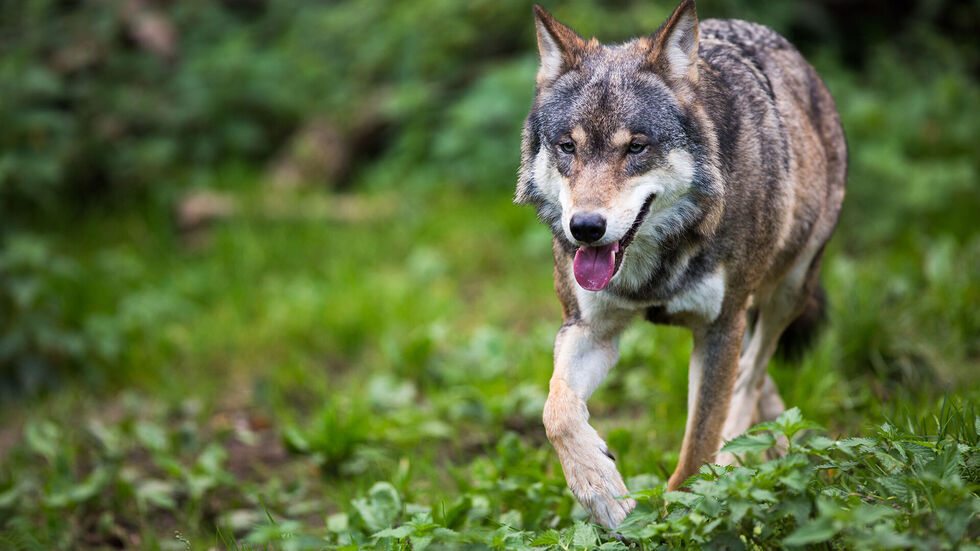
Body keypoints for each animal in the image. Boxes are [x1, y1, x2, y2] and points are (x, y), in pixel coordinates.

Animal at [516, 0, 846, 528]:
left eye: (636, 147)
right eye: (568, 146)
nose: (584, 227)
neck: (654, 268)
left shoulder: (720, 327)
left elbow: (698, 446)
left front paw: (687, 515)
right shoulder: (589, 329)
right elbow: (556, 411)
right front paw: (602, 492)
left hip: (786, 292)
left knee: (751, 375)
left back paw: (738, 460)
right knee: (757, 385)